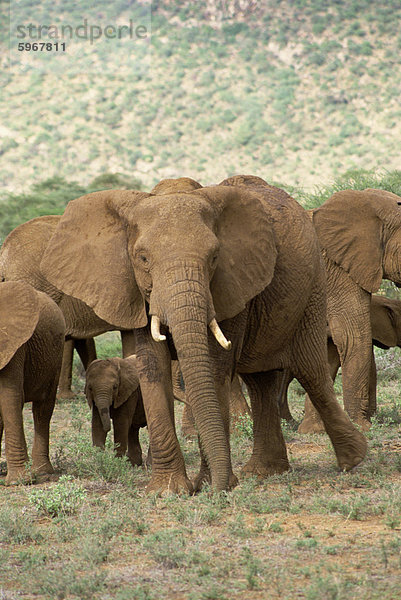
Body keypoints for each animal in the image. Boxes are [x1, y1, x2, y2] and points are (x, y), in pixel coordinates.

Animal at [0, 280, 65, 482]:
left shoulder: (14, 345)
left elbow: (9, 396)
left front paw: (18, 481)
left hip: (55, 356)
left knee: (42, 409)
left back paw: (42, 472)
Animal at [39, 172, 368, 492]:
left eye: (214, 257)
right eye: (143, 258)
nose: (218, 490)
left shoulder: (231, 283)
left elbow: (214, 366)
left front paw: (210, 484)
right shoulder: (137, 290)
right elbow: (153, 367)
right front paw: (167, 490)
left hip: (313, 288)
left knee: (310, 369)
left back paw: (354, 460)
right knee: (260, 381)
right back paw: (264, 472)